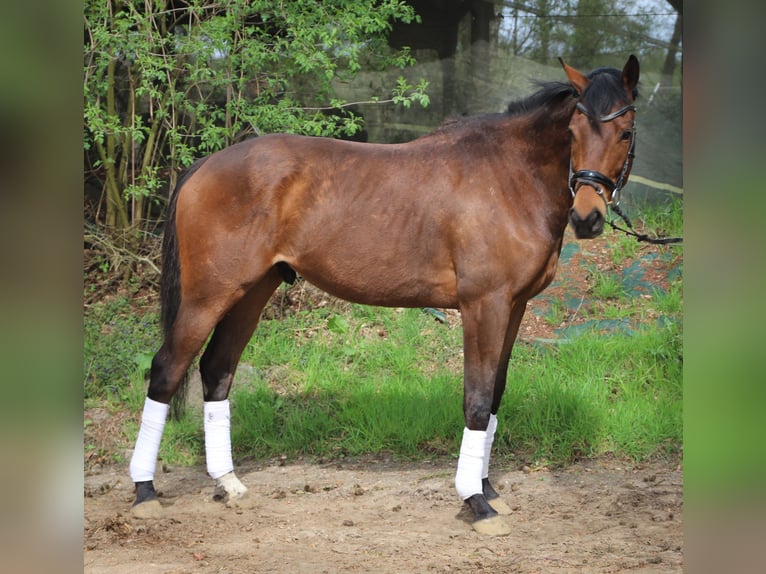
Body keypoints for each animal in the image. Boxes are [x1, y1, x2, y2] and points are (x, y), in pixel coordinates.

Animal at [128, 56, 639, 536]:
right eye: (574, 130)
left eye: (626, 133)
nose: (588, 217)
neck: (509, 176)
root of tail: (206, 165)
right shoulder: (484, 306)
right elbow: (476, 400)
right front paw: (476, 502)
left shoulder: (514, 308)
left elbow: (494, 395)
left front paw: (488, 489)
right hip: (208, 296)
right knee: (167, 369)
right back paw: (145, 491)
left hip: (253, 292)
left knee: (217, 370)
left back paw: (228, 483)